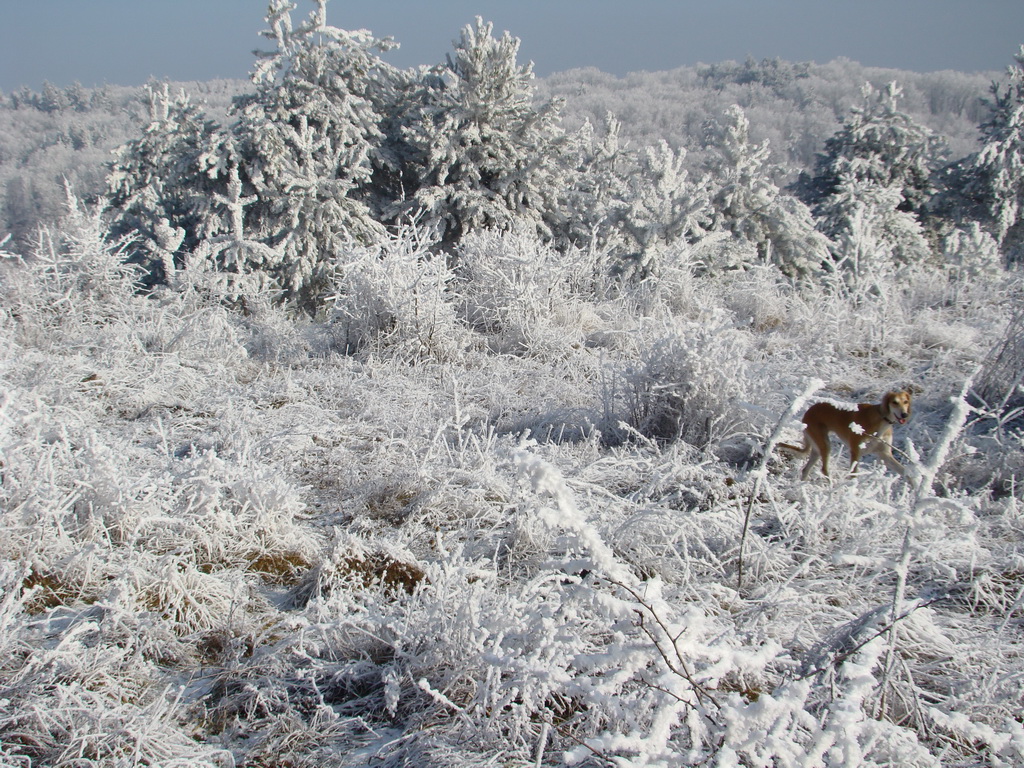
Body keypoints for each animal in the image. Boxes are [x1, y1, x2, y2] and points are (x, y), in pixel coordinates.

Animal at [778, 391, 917, 481]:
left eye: (905, 402)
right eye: (894, 402)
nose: (904, 414)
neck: (881, 420)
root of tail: (808, 411)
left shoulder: (885, 455)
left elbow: (906, 473)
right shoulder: (856, 451)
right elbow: (853, 476)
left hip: (817, 448)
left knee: (806, 470)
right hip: (825, 445)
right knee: (824, 470)